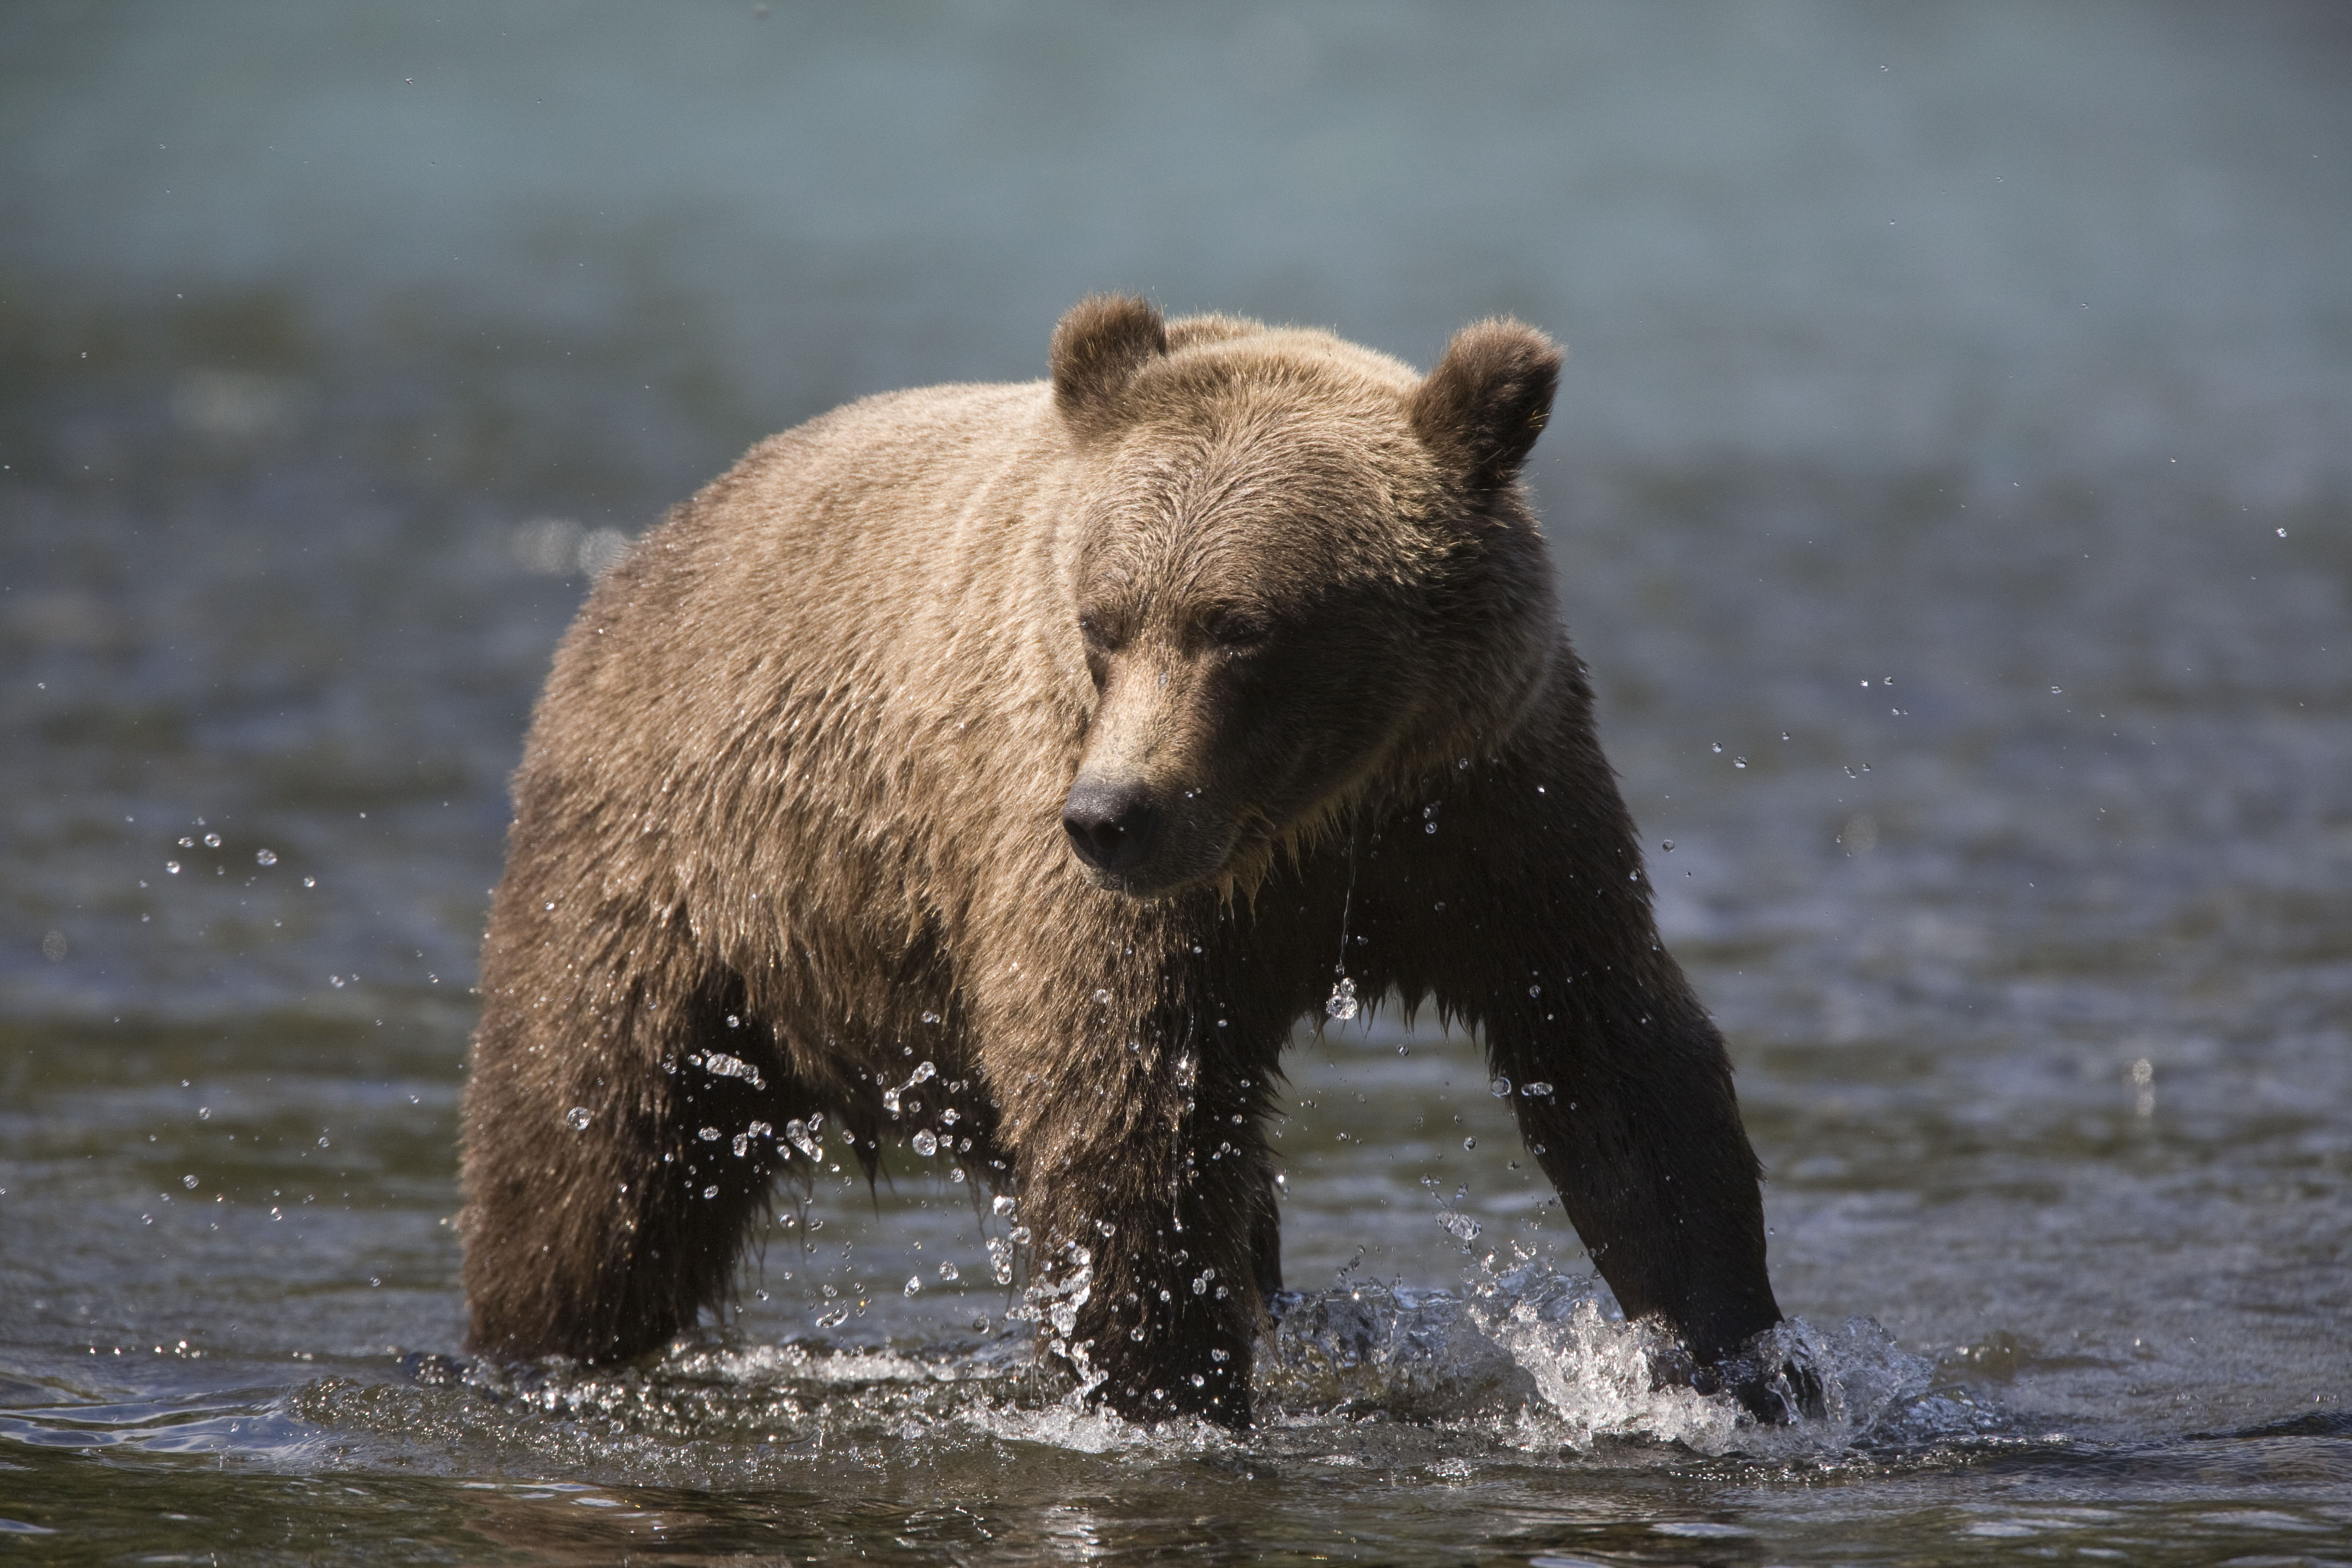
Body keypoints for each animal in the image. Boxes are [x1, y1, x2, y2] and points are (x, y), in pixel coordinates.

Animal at [454, 297, 1778, 1438]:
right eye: (1105, 619)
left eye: (1241, 627)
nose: (1110, 816)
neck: (1308, 816)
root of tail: (637, 562)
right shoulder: (1091, 861)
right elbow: (1129, 1116)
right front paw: (1168, 1394)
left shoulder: (1491, 815)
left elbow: (1617, 1066)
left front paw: (1739, 1368)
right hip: (670, 883)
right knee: (590, 1171)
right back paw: (538, 1336)